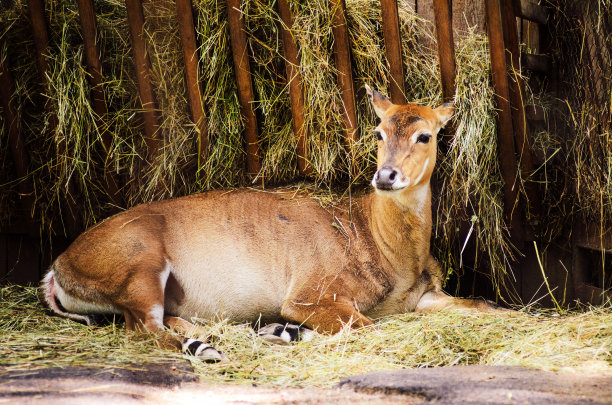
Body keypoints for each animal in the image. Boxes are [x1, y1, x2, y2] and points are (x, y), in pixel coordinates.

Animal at [39, 86, 498, 360]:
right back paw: (209, 348)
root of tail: (55, 272)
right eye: (378, 132)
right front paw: (291, 331)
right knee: (144, 329)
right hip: (138, 265)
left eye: (426, 135)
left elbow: (485, 307)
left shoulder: (422, 296)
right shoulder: (311, 294)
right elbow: (367, 329)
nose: (386, 176)